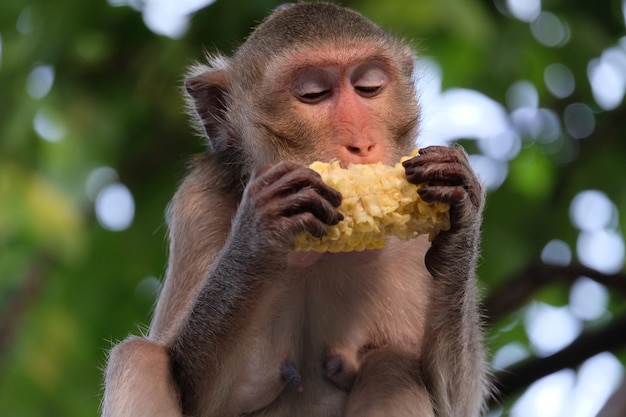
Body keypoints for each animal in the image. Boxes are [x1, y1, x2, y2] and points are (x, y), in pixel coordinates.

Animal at [102, 3, 488, 416]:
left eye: (368, 87)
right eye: (313, 94)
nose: (361, 144)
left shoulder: (410, 244)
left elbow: (455, 402)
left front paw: (460, 213)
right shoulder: (198, 201)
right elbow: (193, 389)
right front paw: (259, 234)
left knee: (392, 364)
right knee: (138, 356)